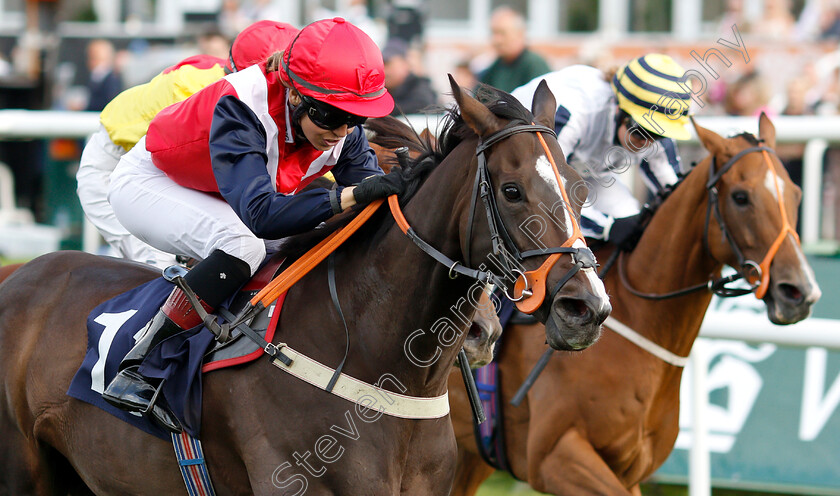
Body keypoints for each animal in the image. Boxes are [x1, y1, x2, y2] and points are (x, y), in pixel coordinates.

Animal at [450, 113, 824, 496]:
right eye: (740, 197)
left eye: (796, 194)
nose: (799, 291)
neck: (639, 321)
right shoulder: (553, 457)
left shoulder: (629, 472)